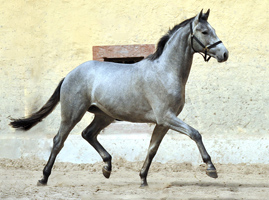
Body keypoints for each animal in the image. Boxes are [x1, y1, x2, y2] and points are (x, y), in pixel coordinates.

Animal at [11, 9, 228, 188]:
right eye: (204, 32)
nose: (224, 54)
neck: (165, 72)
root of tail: (70, 74)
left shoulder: (163, 122)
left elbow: (152, 149)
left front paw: (143, 179)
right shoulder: (166, 117)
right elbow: (195, 134)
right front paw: (211, 168)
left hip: (104, 115)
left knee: (88, 134)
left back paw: (107, 167)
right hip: (72, 113)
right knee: (59, 141)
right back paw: (43, 178)